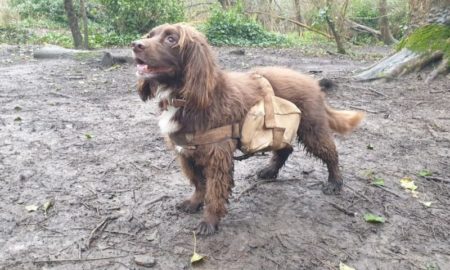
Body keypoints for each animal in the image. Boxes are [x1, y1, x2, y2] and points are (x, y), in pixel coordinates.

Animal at [132, 23, 364, 234]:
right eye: (149, 35)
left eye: (171, 39)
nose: (135, 45)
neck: (186, 98)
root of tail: (313, 82)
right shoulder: (187, 152)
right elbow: (199, 184)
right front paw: (194, 202)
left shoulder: (217, 154)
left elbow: (214, 191)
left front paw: (209, 221)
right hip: (280, 128)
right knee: (285, 148)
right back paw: (270, 171)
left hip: (312, 129)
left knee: (331, 153)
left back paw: (334, 182)